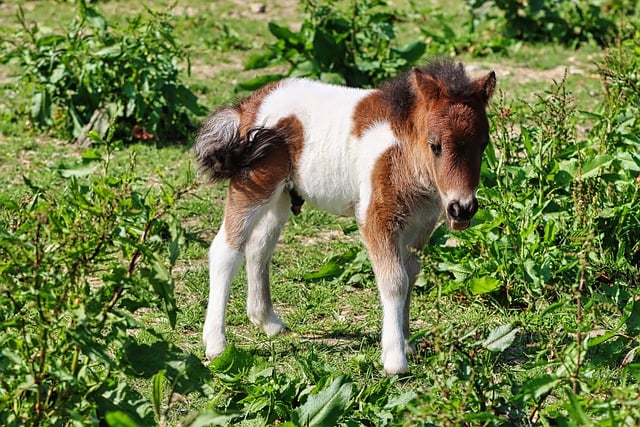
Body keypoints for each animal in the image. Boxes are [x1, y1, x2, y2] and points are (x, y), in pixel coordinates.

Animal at [194, 59, 496, 374]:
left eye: (483, 144)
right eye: (434, 145)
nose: (462, 208)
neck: (403, 152)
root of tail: (250, 105)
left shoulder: (420, 223)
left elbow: (411, 274)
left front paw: (407, 343)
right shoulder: (376, 217)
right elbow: (394, 280)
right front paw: (394, 358)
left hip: (281, 197)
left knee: (259, 248)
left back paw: (268, 321)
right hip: (253, 185)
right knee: (226, 250)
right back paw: (216, 344)